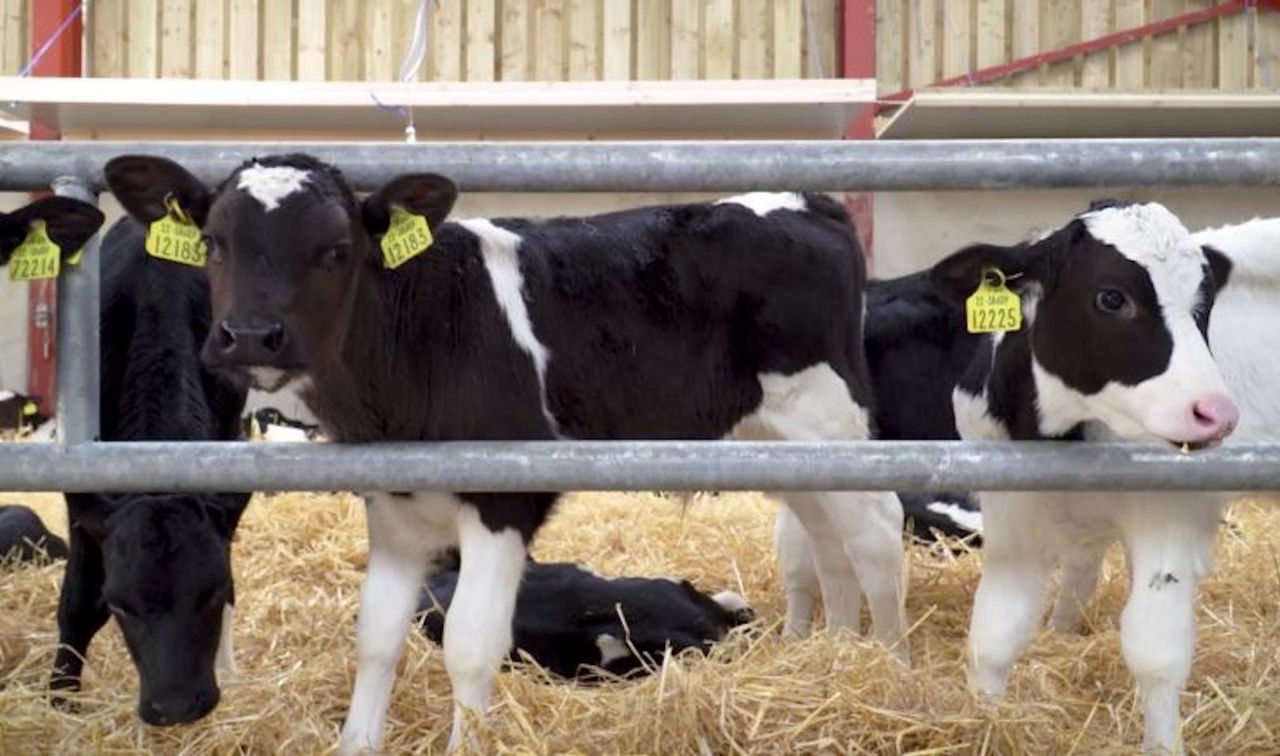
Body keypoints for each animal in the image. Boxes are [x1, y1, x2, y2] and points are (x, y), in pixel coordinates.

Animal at [0, 198, 253, 726]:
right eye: (119, 603)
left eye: (213, 590)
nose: (177, 706)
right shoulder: (83, 495)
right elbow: (77, 603)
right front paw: (60, 700)